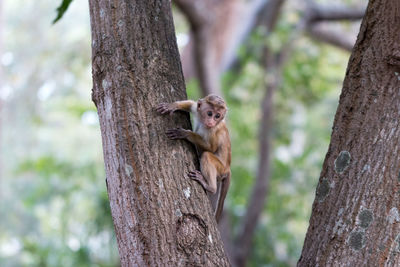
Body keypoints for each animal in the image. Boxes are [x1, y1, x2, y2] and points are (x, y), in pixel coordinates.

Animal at [157, 95, 231, 223]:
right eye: (210, 113)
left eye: (217, 116)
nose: (211, 122)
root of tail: (228, 169)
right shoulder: (197, 110)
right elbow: (192, 104)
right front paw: (173, 105)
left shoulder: (213, 131)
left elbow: (211, 148)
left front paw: (186, 134)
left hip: (220, 168)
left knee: (206, 155)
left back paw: (210, 187)